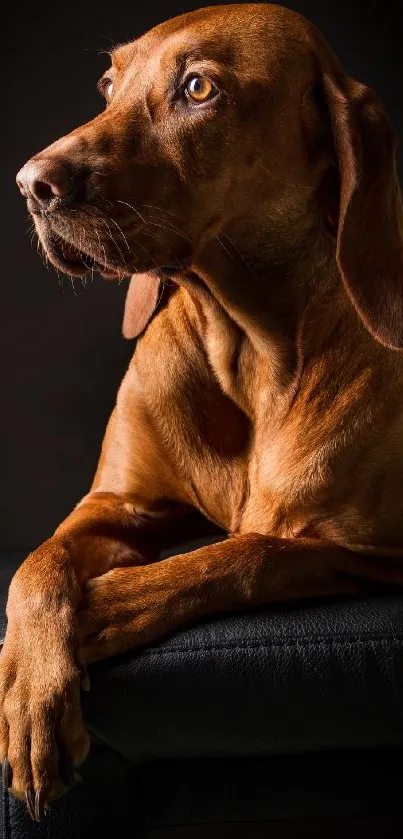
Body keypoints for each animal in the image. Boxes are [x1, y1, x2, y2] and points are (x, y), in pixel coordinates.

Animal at [0, 0, 403, 824]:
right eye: (108, 84)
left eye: (197, 89)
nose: (29, 185)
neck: (247, 343)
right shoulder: (114, 505)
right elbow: (37, 564)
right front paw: (29, 689)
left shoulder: (372, 551)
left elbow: (247, 554)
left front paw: (107, 604)